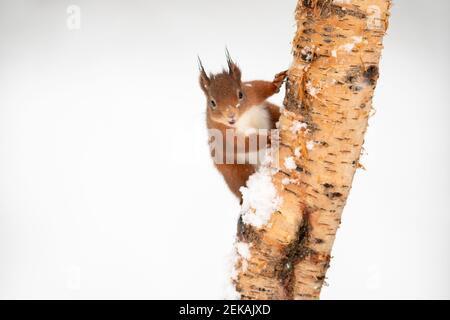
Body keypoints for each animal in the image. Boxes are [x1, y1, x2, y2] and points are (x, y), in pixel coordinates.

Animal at [199, 52, 286, 202]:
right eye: (212, 103)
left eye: (240, 94)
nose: (231, 115)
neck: (241, 119)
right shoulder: (223, 132)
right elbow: (242, 144)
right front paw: (270, 138)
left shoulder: (251, 93)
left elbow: (260, 87)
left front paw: (276, 82)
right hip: (236, 170)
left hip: (272, 112)